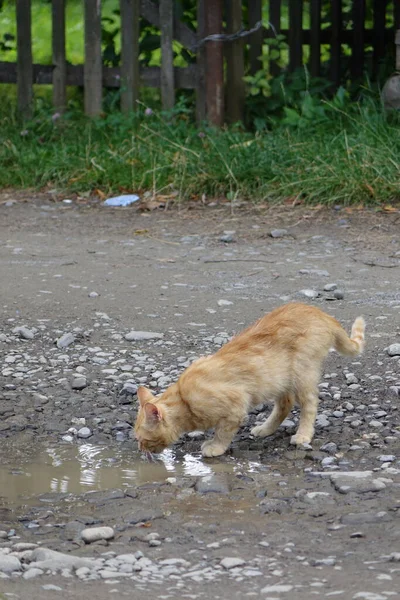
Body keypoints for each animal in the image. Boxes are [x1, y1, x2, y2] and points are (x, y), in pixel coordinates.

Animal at [133, 302, 364, 458]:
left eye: (142, 439)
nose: (140, 449)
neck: (184, 399)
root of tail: (321, 313)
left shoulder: (236, 405)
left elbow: (223, 432)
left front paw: (215, 447)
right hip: (279, 379)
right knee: (285, 403)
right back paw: (265, 429)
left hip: (302, 371)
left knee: (309, 403)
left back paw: (303, 435)